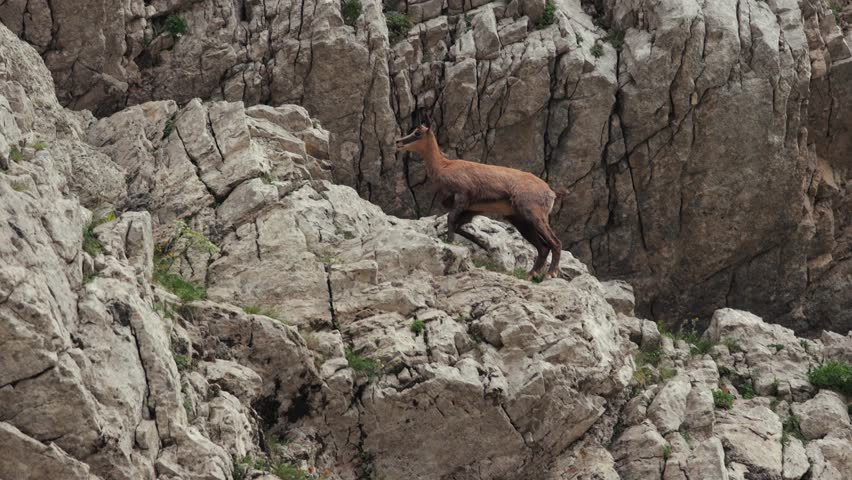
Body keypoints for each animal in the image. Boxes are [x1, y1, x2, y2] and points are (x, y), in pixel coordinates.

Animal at [395, 119, 566, 278]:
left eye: (417, 132)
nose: (398, 142)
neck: (444, 167)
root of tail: (551, 192)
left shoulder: (462, 196)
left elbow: (451, 219)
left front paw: (450, 242)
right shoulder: (471, 209)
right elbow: (458, 226)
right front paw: (481, 246)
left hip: (533, 214)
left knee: (555, 242)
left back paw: (550, 273)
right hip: (520, 220)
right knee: (543, 247)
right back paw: (531, 274)